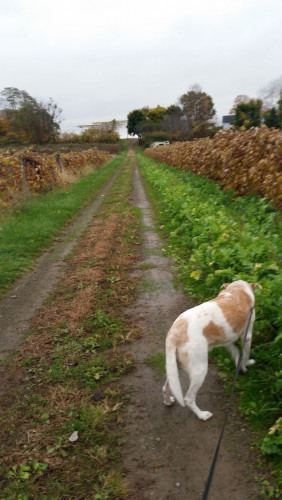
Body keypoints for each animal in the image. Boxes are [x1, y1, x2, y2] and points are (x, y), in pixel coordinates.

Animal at [163, 280, 262, 420]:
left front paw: (240, 366)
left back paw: (167, 401)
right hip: (200, 370)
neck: (237, 289)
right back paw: (202, 415)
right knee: (188, 399)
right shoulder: (247, 336)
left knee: (166, 387)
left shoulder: (227, 341)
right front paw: (247, 365)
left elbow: (237, 353)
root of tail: (175, 333)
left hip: (173, 367)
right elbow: (245, 355)